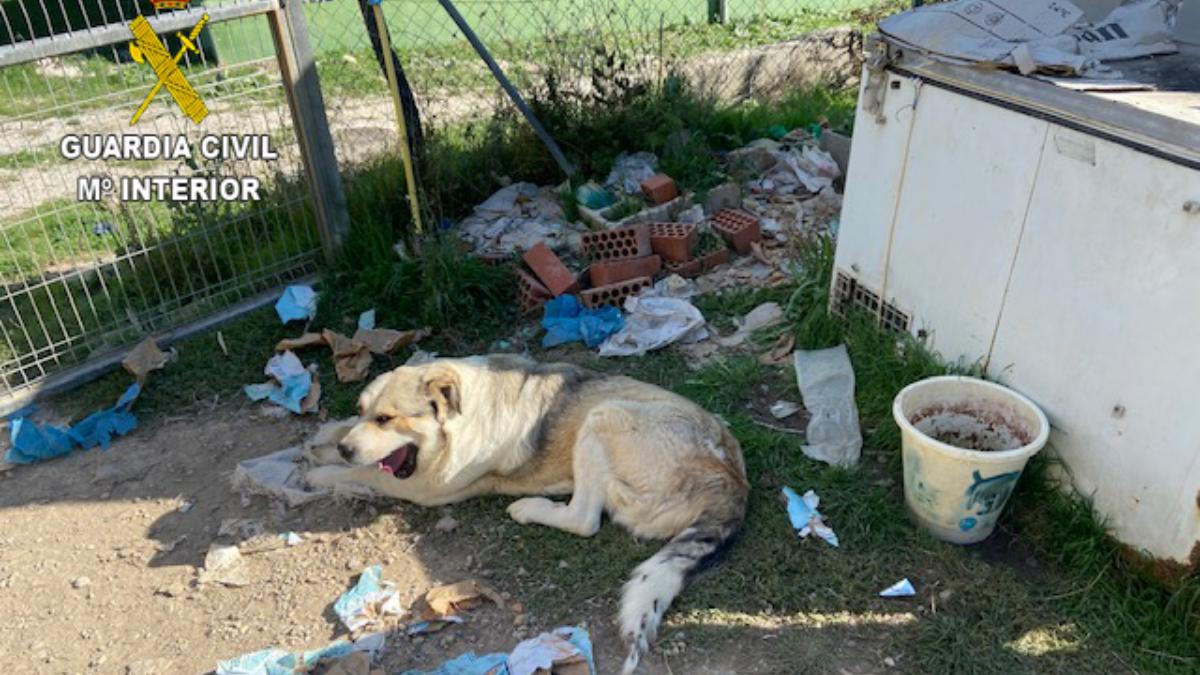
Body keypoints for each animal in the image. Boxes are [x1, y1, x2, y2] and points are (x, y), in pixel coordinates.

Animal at [304, 355, 744, 667]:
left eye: (385, 418)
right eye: (363, 410)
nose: (345, 449)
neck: (458, 413)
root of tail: (733, 484)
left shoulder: (424, 487)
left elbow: (363, 473)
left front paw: (319, 473)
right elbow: (342, 436)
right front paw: (323, 439)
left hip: (604, 416)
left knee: (584, 520)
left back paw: (529, 507)